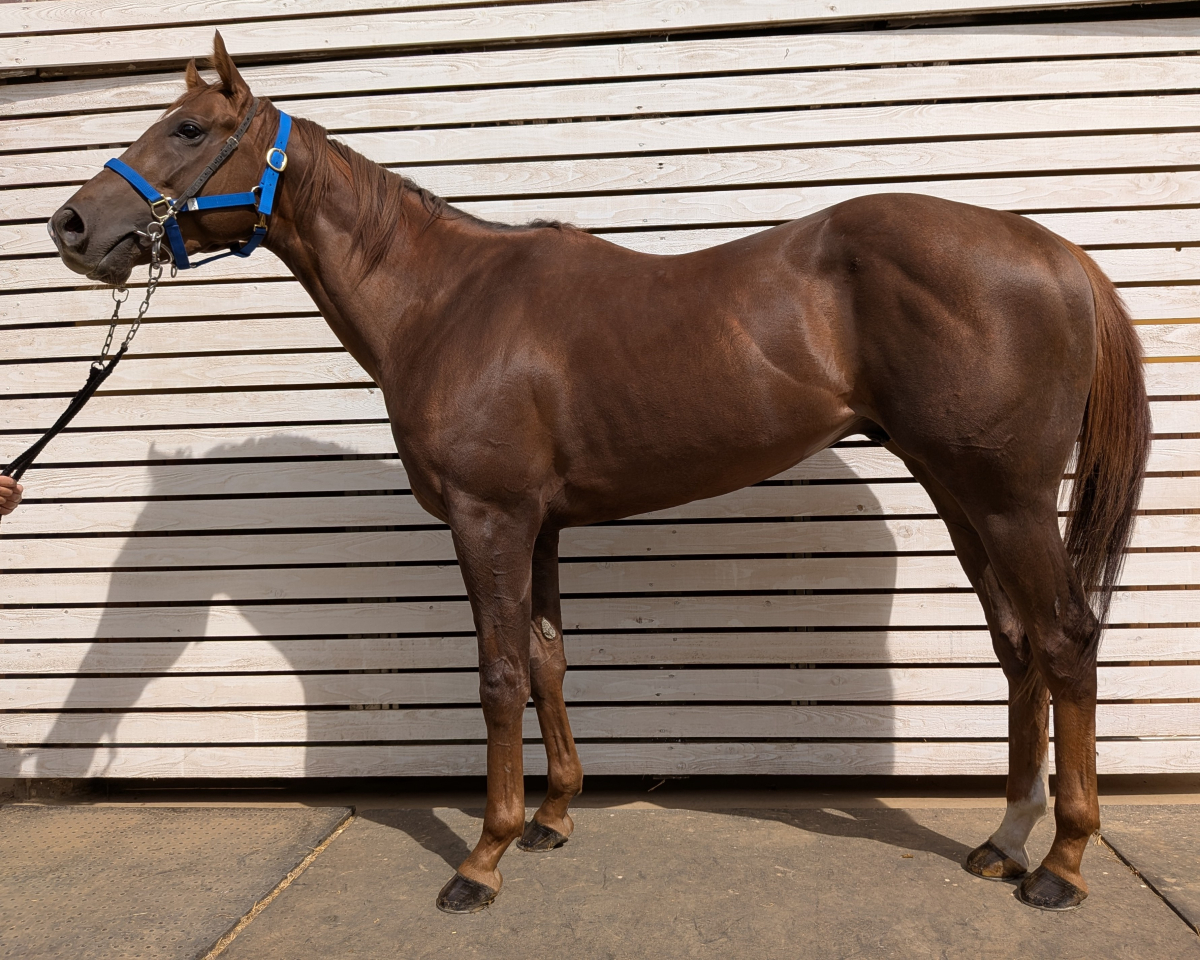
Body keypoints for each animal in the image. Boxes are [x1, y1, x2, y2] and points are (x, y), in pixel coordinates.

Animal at [47, 34, 1150, 914]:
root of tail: (1056, 253)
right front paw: (552, 819)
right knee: (1017, 646)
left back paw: (1062, 865)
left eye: (188, 128)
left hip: (1008, 499)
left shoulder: (488, 517)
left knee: (1064, 640)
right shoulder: (538, 524)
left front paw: (482, 858)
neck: (444, 300)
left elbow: (497, 675)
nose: (70, 228)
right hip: (961, 491)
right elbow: (547, 662)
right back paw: (1004, 840)